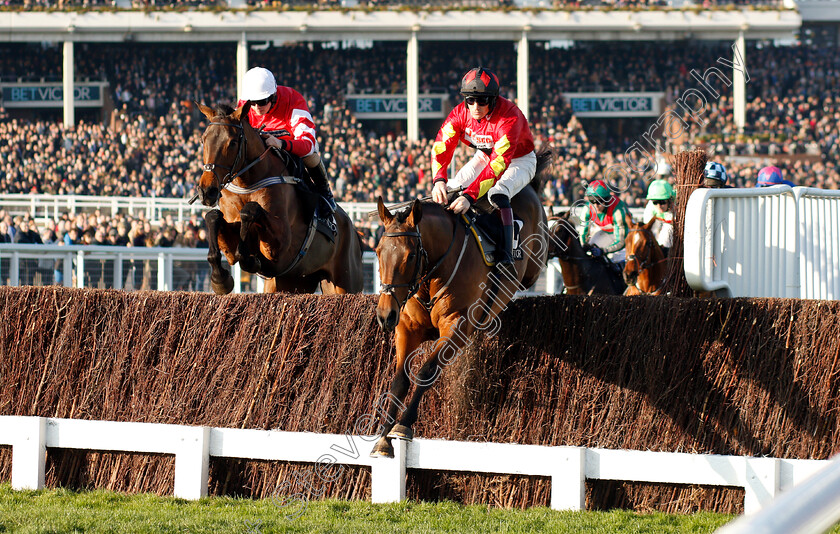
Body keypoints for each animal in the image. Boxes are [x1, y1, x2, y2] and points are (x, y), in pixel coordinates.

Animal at [194, 103, 364, 298]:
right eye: (203, 140)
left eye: (233, 142)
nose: (207, 191)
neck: (247, 185)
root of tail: (354, 231)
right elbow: (213, 217)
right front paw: (220, 279)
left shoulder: (281, 245)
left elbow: (250, 211)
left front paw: (249, 259)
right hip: (293, 282)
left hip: (345, 283)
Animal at [370, 151, 556, 460]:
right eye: (377, 251)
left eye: (410, 256)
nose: (385, 315)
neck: (432, 276)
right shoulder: (407, 327)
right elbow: (399, 380)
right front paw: (383, 438)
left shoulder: (457, 326)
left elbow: (426, 372)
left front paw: (403, 425)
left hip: (533, 258)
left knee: (504, 201)